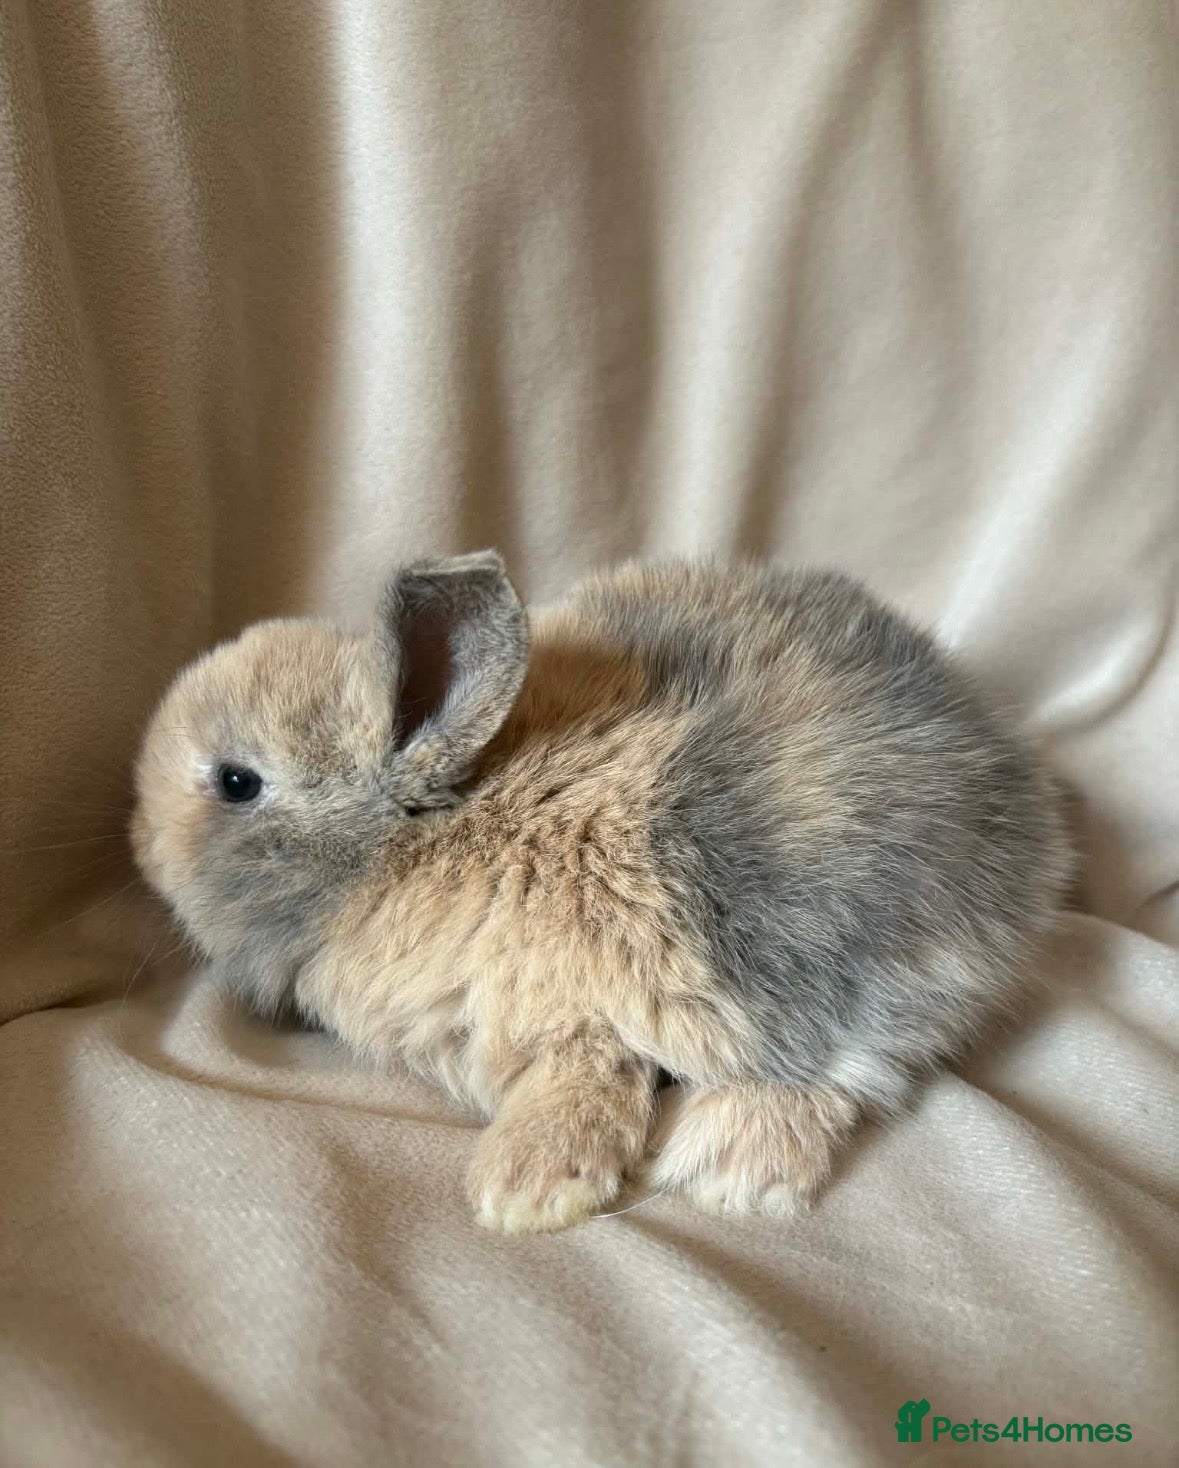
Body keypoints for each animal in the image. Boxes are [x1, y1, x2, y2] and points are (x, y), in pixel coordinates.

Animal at [132, 551, 1074, 1233]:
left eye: (236, 782)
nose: (137, 838)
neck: (433, 828)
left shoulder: (574, 998)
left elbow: (584, 1077)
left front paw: (524, 1192)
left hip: (829, 952)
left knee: (851, 1066)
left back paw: (732, 1172)